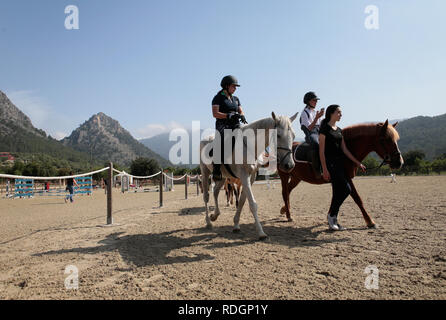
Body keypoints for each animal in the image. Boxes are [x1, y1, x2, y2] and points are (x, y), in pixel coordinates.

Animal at [199, 111, 296, 239]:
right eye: (278, 135)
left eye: (293, 136)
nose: (289, 165)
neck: (250, 146)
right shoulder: (244, 176)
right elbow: (253, 204)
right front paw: (261, 232)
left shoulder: (251, 178)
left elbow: (242, 201)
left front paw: (236, 224)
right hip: (205, 172)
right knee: (206, 196)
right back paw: (208, 222)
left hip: (222, 177)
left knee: (215, 192)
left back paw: (214, 215)